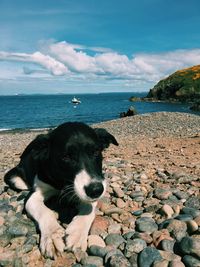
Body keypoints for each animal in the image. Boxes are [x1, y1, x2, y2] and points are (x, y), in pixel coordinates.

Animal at [4, 123, 117, 260]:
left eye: (96, 152)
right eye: (66, 157)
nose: (96, 190)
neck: (62, 182)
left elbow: (89, 210)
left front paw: (77, 233)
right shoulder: (33, 196)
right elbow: (45, 212)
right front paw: (53, 236)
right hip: (11, 177)